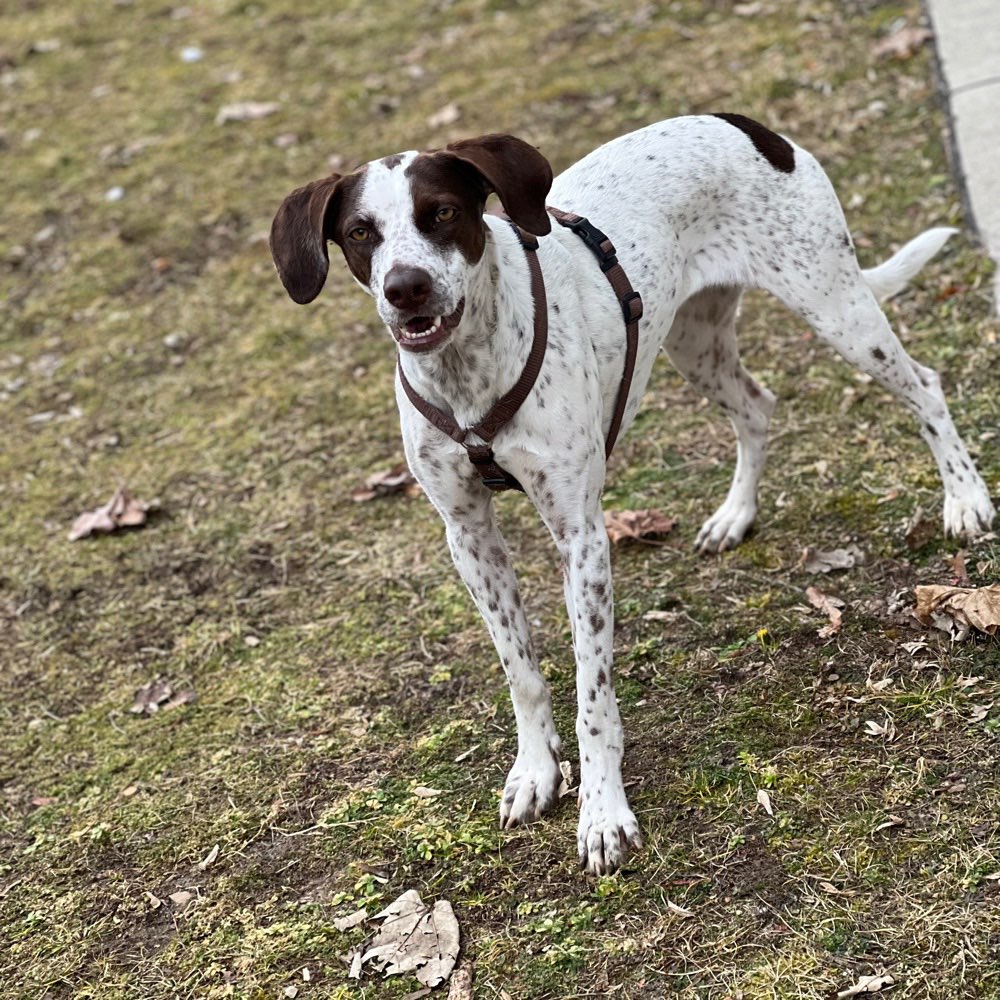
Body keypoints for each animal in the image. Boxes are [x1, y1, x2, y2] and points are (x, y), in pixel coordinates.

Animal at [270, 113, 996, 872]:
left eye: (439, 213)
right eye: (361, 233)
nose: (405, 287)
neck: (468, 372)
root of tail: (746, 124)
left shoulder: (583, 538)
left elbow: (593, 697)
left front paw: (602, 813)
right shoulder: (469, 538)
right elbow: (522, 672)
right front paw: (536, 771)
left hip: (835, 306)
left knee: (924, 385)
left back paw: (965, 500)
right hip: (693, 340)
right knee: (757, 406)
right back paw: (735, 515)